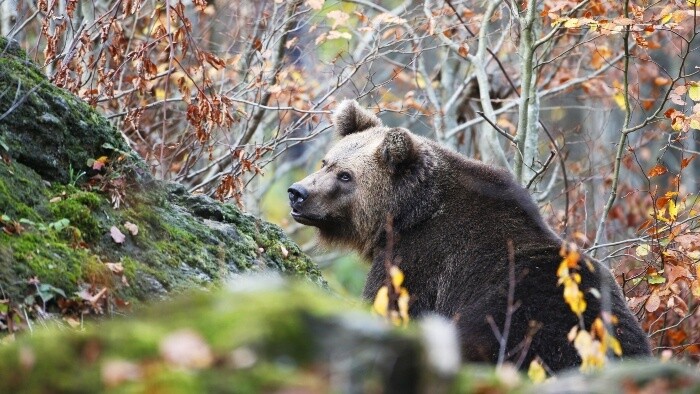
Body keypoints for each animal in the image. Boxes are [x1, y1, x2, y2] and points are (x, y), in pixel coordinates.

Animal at [286, 100, 652, 370]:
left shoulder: (418, 262)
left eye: (346, 176)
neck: (405, 215)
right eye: (326, 161)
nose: (297, 192)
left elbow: (388, 304)